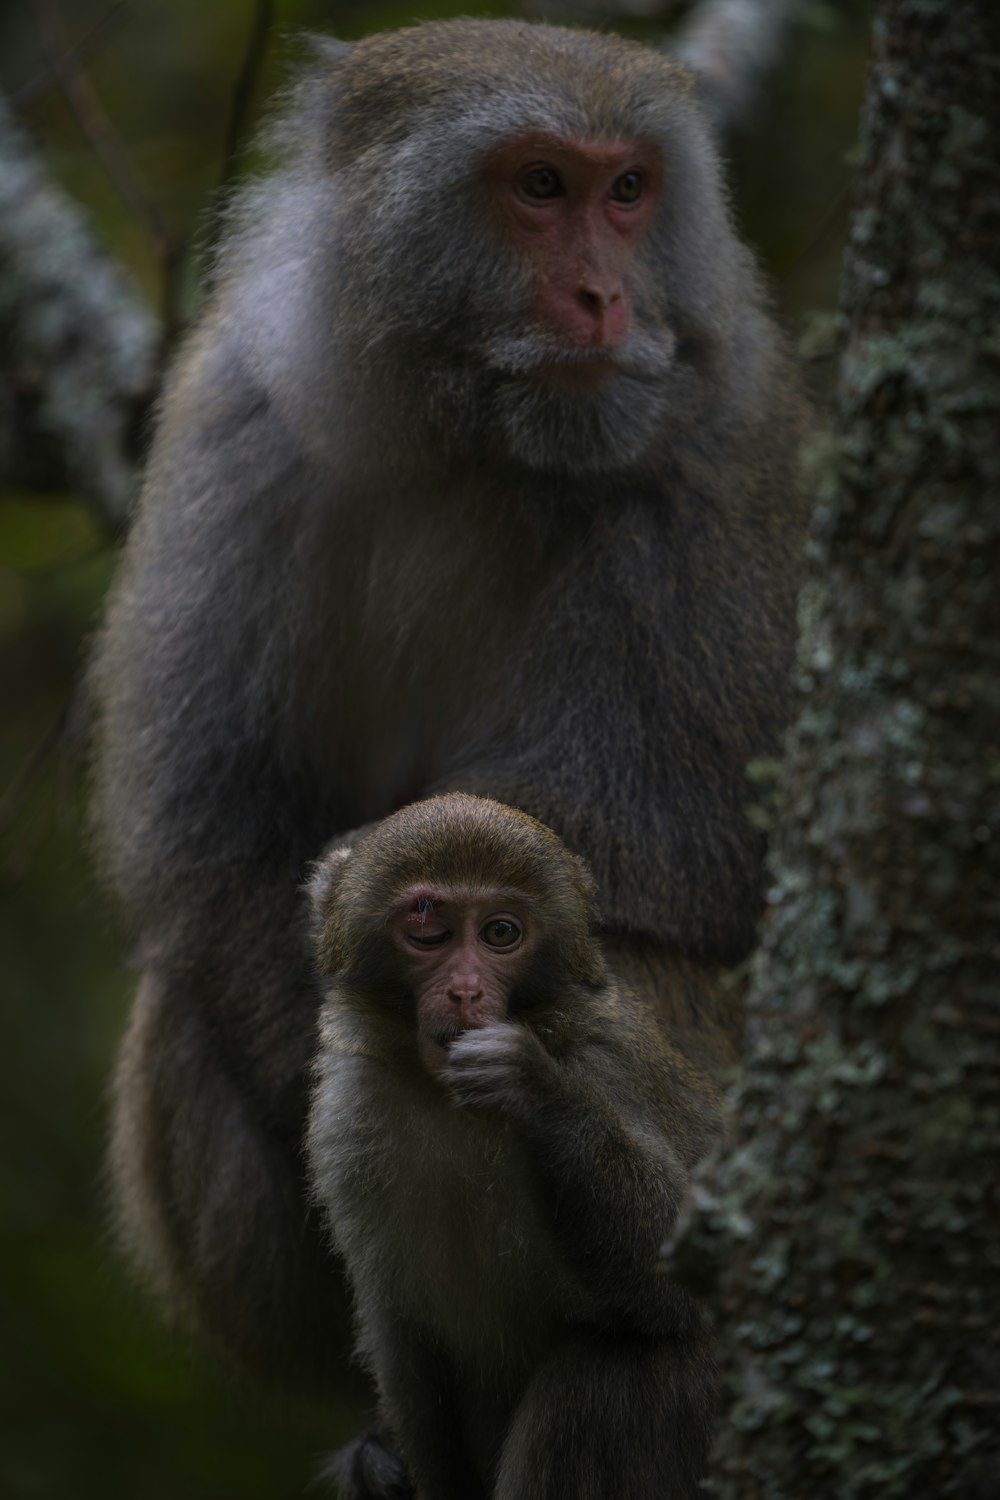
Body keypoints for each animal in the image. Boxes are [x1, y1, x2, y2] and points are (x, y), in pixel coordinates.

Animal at [308, 792, 716, 1494]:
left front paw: (534, 1090)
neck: (447, 1103)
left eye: (501, 934)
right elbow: (403, 1339)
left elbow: (695, 1274)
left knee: (601, 1380)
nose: (466, 991)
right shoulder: (350, 1112)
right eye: (428, 928)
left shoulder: (607, 1062)